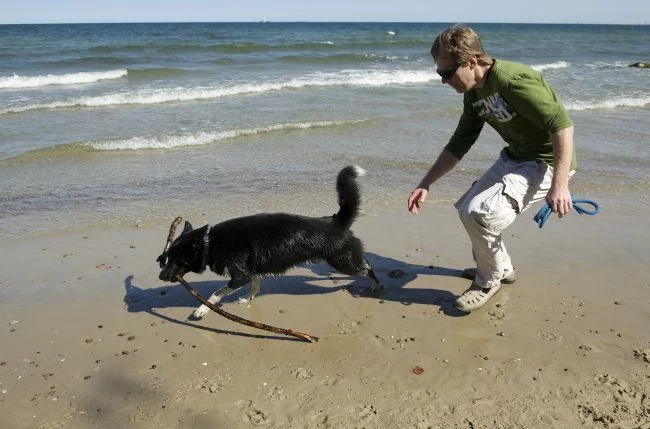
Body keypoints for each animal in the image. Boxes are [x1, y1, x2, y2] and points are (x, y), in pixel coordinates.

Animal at [157, 165, 382, 320]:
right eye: (167, 258)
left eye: (176, 260)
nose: (160, 276)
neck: (208, 243)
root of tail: (335, 220)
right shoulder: (251, 272)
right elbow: (255, 285)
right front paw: (248, 299)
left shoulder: (239, 276)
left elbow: (215, 294)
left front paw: (201, 310)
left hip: (343, 262)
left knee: (367, 267)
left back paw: (375, 285)